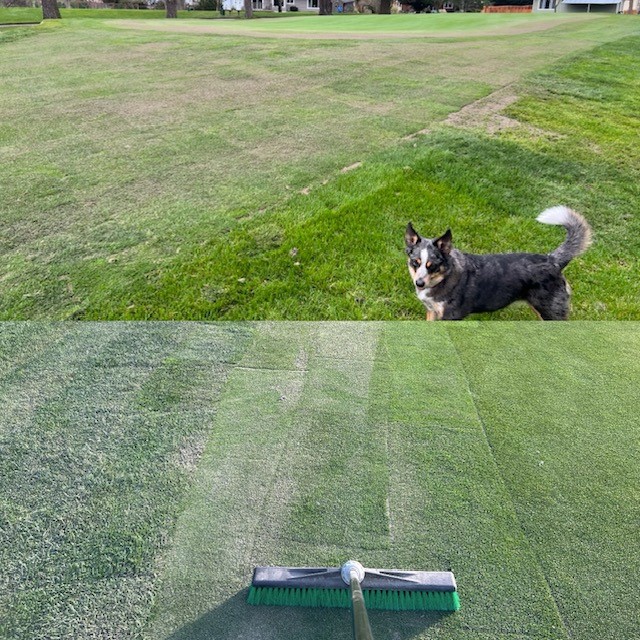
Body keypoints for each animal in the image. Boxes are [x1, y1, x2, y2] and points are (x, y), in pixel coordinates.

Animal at [408, 208, 592, 322]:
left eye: (432, 265)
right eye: (415, 262)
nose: (419, 283)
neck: (444, 278)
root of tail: (553, 260)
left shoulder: (450, 317)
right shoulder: (432, 311)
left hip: (552, 312)